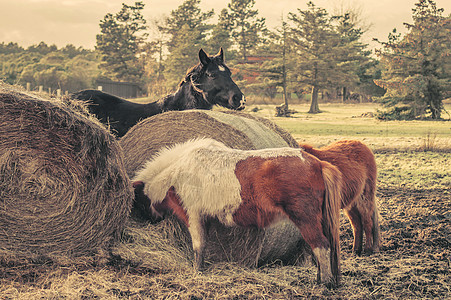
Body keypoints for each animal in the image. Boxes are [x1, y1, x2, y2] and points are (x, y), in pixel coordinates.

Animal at [132, 139, 340, 284]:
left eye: (139, 201)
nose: (149, 220)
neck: (179, 172)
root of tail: (317, 163)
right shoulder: (205, 218)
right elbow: (204, 245)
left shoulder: (193, 215)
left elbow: (198, 246)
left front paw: (197, 272)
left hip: (305, 219)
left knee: (321, 245)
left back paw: (325, 283)